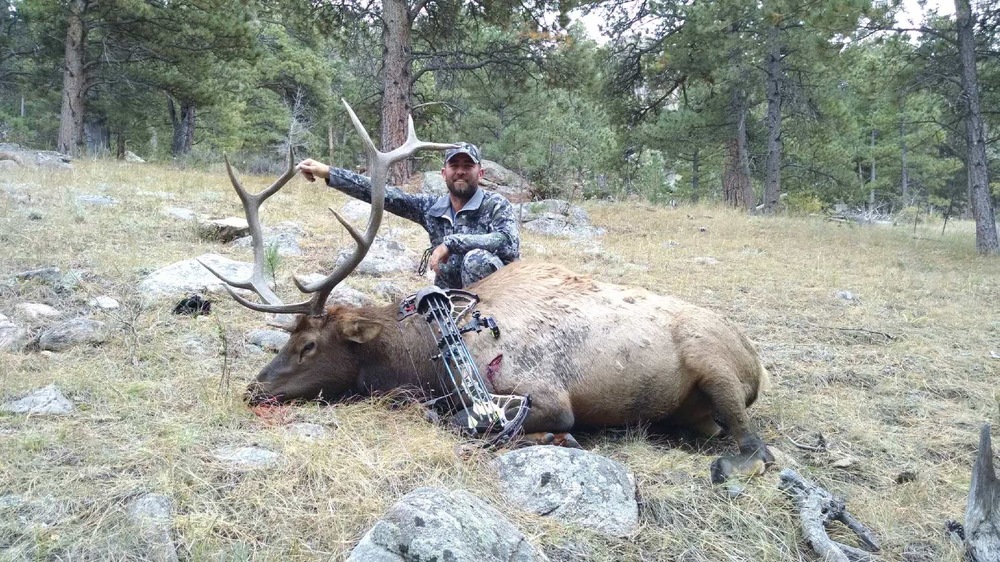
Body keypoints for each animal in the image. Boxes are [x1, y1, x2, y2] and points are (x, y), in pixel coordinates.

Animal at [203, 99, 776, 482]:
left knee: (757, 447)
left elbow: (462, 418)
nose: (253, 388)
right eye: (286, 337)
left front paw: (554, 437)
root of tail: (756, 362)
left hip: (714, 365)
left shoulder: (546, 394)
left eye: (308, 345)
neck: (420, 356)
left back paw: (733, 466)